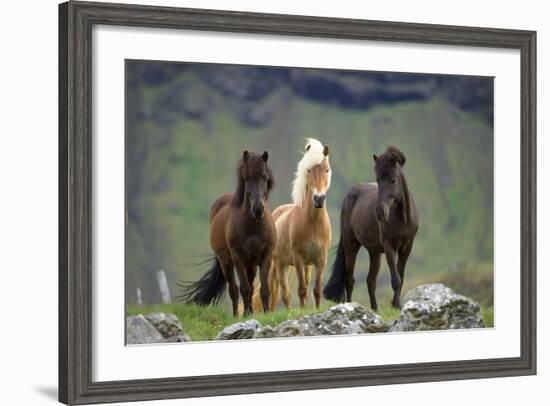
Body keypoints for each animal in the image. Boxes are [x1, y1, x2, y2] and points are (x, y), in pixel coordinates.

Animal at [180, 151, 276, 316]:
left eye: (264, 177)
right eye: (246, 177)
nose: (258, 209)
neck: (253, 227)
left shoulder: (266, 257)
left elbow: (263, 289)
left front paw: (266, 313)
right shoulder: (238, 258)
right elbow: (243, 288)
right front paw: (245, 315)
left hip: (251, 265)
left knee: (250, 287)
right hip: (227, 264)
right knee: (234, 290)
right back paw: (237, 314)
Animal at [268, 138, 332, 310]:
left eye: (327, 170)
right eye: (309, 170)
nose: (318, 199)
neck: (313, 224)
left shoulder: (320, 260)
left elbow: (316, 290)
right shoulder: (298, 259)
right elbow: (302, 290)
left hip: (307, 266)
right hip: (280, 264)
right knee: (285, 294)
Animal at [324, 147, 418, 310]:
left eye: (393, 180)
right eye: (378, 180)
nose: (380, 212)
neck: (403, 219)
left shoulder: (406, 248)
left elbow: (401, 277)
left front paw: (397, 304)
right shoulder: (390, 248)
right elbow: (396, 280)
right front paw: (396, 305)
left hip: (374, 252)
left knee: (370, 280)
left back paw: (375, 308)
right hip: (351, 246)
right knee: (349, 280)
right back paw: (350, 305)